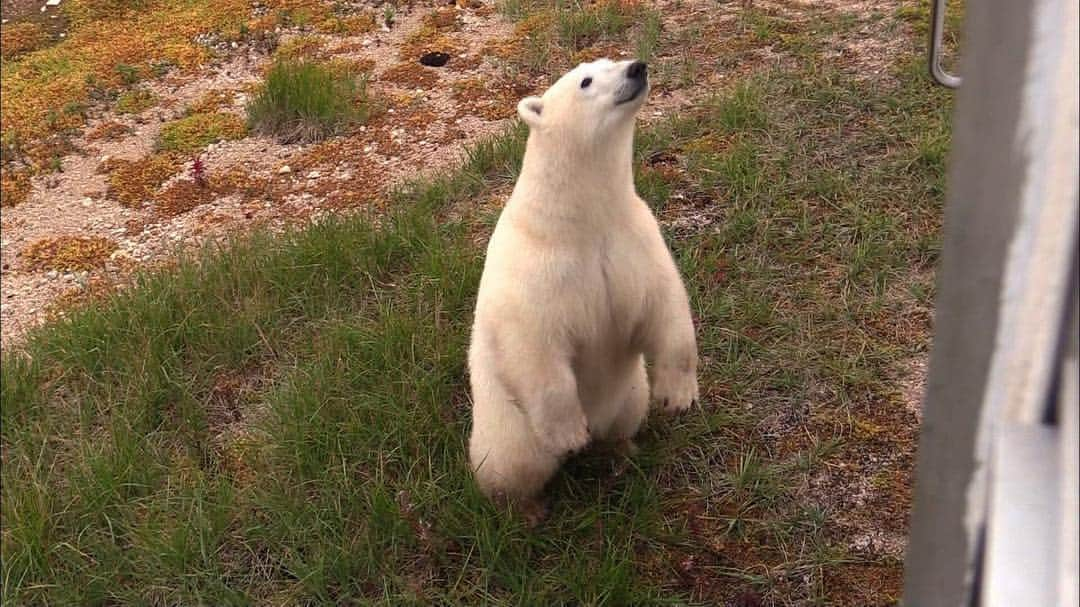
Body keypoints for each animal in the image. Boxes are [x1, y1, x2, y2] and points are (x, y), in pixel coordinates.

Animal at [466, 57, 699, 509]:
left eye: (613, 59)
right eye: (585, 81)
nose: (637, 68)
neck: (578, 221)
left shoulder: (635, 240)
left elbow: (664, 306)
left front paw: (678, 395)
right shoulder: (537, 272)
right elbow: (536, 350)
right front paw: (571, 435)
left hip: (630, 392)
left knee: (625, 417)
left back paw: (623, 451)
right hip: (507, 426)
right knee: (512, 465)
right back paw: (526, 507)